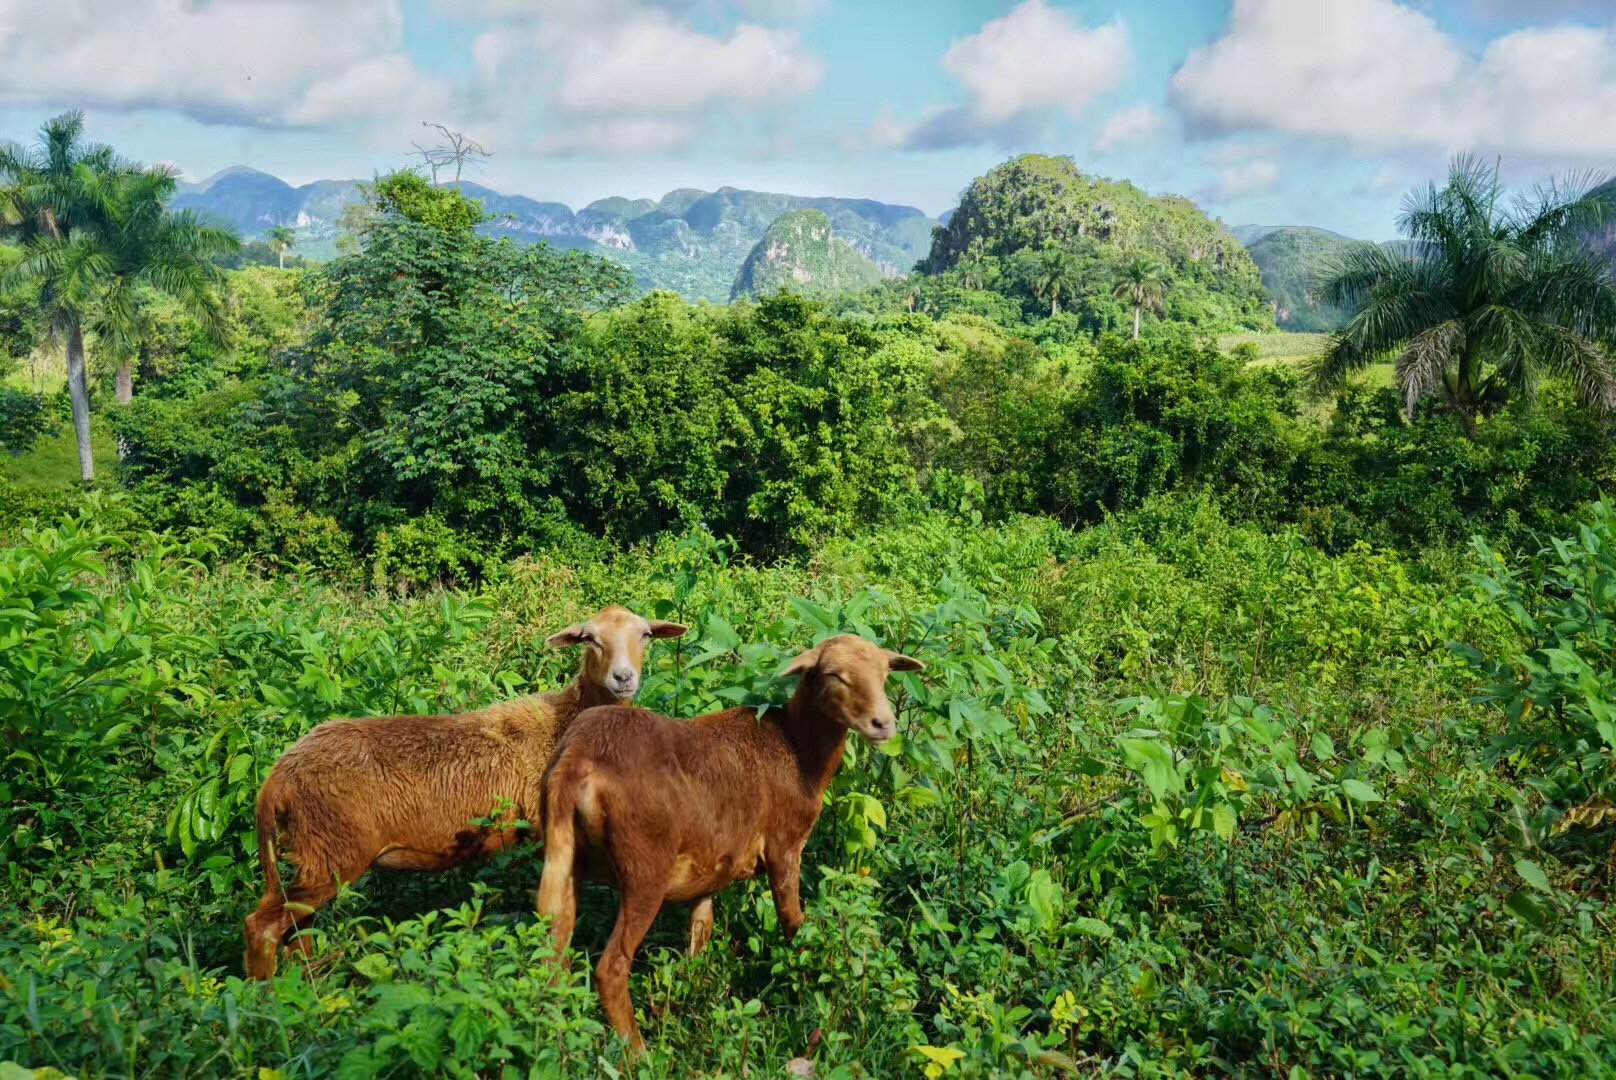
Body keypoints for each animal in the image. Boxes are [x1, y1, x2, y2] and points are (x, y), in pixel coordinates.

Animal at [242, 604, 685, 982]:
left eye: (645, 635)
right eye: (590, 638)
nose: (623, 678)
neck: (564, 719)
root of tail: (277, 776)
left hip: (313, 853)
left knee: (298, 930)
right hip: (332, 851)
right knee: (261, 927)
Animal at [539, 633, 924, 1047]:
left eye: (885, 674)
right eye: (835, 675)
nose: (883, 724)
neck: (797, 748)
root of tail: (577, 760)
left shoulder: (710, 866)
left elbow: (700, 930)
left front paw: (693, 993)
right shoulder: (785, 846)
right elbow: (794, 924)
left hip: (569, 858)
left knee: (553, 957)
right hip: (645, 868)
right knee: (610, 969)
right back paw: (637, 1051)